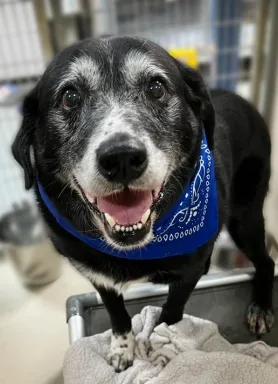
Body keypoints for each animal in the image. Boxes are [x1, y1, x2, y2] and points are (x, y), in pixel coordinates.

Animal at [12, 36, 274, 372]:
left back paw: (261, 307)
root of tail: (244, 100)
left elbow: (171, 313)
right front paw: (123, 348)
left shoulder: (185, 275)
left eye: (156, 87)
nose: (122, 158)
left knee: (266, 261)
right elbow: (117, 315)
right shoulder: (98, 277)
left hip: (245, 218)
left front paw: (160, 344)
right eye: (69, 96)